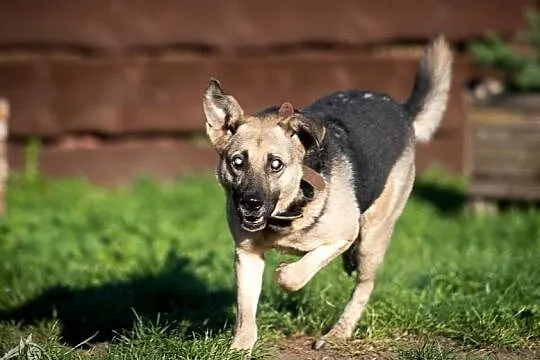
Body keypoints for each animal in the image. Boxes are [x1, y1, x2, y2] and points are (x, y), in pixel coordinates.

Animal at [201, 37, 452, 354]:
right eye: (237, 162)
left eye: (276, 164)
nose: (251, 204)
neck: (287, 213)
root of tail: (401, 110)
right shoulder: (247, 255)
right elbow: (246, 309)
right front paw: (240, 347)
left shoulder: (342, 234)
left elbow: (296, 273)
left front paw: (284, 273)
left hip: (374, 233)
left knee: (364, 286)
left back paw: (338, 333)